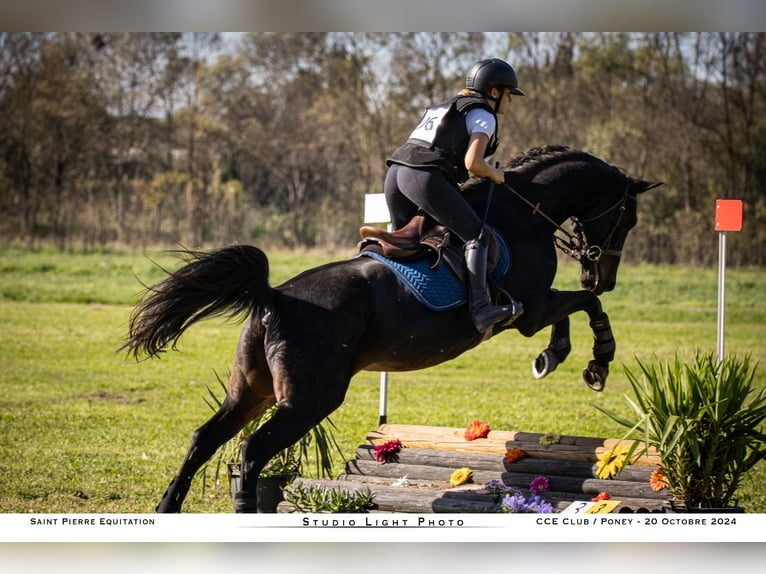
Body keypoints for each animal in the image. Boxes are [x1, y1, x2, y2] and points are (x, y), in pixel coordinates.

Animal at [121, 145, 661, 513]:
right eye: (628, 217)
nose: (603, 275)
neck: (525, 213)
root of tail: (275, 296)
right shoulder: (529, 310)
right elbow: (584, 307)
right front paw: (592, 361)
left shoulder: (534, 309)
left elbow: (576, 308)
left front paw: (557, 356)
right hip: (310, 399)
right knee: (252, 450)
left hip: (251, 390)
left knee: (204, 438)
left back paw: (168, 507)